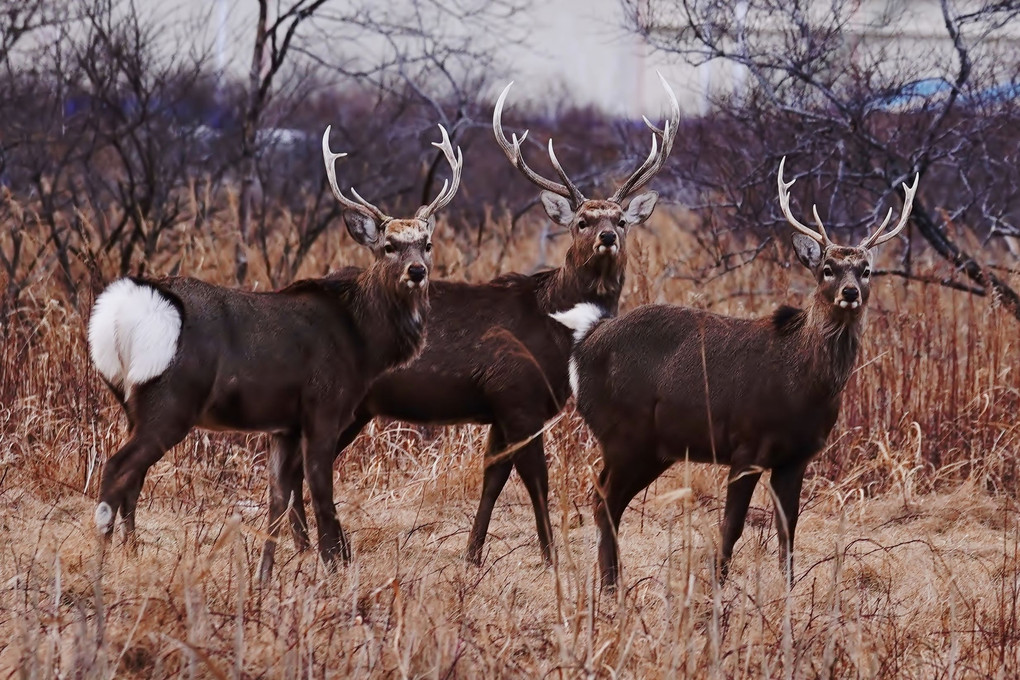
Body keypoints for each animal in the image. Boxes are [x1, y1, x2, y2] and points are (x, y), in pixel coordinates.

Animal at [87, 123, 463, 570]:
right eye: (388, 245)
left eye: (427, 243)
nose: (417, 271)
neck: (364, 342)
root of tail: (124, 308)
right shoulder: (324, 407)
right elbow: (321, 496)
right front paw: (333, 567)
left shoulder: (284, 426)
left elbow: (277, 501)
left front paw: (266, 574)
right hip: (171, 401)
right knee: (117, 469)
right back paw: (105, 562)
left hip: (132, 404)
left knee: (131, 477)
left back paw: (129, 551)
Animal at [554, 160, 922, 591]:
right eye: (827, 269)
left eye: (866, 271)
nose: (850, 293)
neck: (802, 384)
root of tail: (585, 340)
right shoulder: (746, 445)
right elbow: (731, 525)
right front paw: (717, 587)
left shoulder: (796, 457)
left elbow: (788, 529)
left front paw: (788, 589)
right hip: (625, 434)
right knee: (605, 501)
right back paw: (612, 589)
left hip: (651, 447)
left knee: (605, 499)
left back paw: (612, 586)